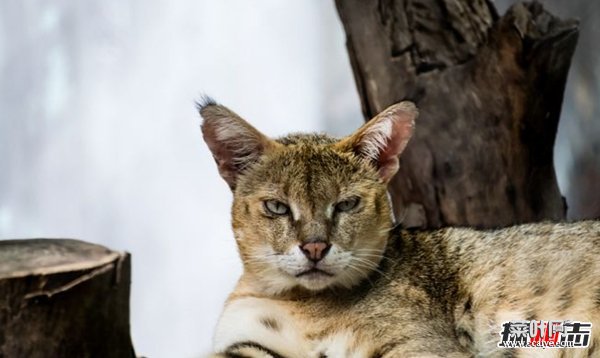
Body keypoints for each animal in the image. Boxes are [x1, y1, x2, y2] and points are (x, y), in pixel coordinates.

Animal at [200, 98, 600, 358]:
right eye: (277, 207)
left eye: (347, 204)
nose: (315, 248)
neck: (301, 303)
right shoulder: (246, 344)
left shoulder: (424, 349)